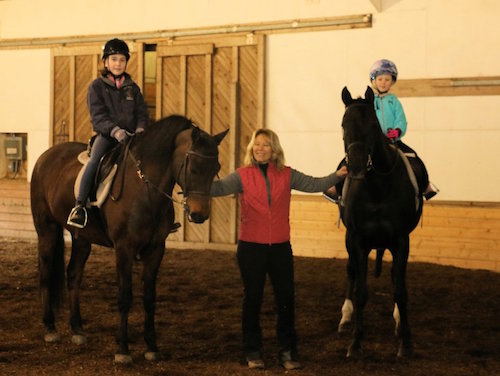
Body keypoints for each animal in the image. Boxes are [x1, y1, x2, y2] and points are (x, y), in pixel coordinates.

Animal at [29, 114, 229, 362]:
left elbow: (150, 298)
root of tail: (45, 157)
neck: (145, 191)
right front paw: (123, 349)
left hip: (82, 238)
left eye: (216, 167)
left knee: (73, 275)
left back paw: (77, 329)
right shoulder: (124, 248)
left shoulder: (156, 249)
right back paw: (50, 328)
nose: (199, 214)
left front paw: (152, 347)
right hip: (46, 229)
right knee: (46, 274)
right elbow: (125, 297)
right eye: (192, 167)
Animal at [336, 86, 422, 356]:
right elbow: (361, 292)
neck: (377, 188)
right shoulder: (358, 240)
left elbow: (400, 291)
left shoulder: (401, 240)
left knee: (396, 277)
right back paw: (345, 317)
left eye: (373, 124)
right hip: (349, 240)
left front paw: (405, 342)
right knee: (351, 271)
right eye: (343, 124)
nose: (355, 166)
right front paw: (355, 342)